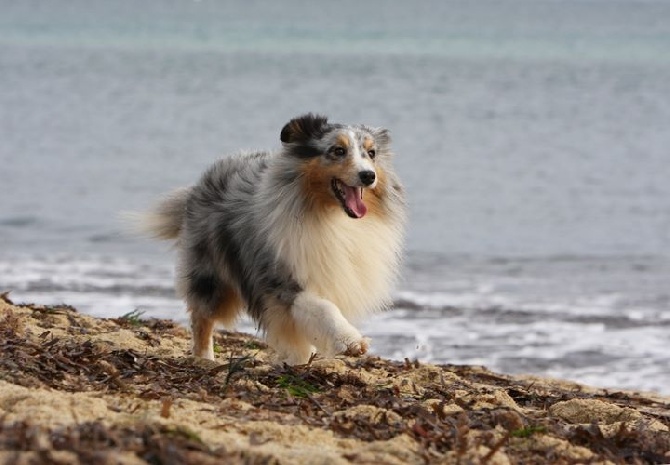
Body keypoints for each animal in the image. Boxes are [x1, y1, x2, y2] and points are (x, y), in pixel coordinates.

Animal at [143, 114, 404, 364]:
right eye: (338, 150)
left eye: (371, 153)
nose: (368, 176)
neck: (329, 214)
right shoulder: (282, 279)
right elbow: (323, 308)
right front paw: (350, 341)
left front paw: (299, 360)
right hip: (210, 276)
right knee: (202, 319)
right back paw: (205, 359)